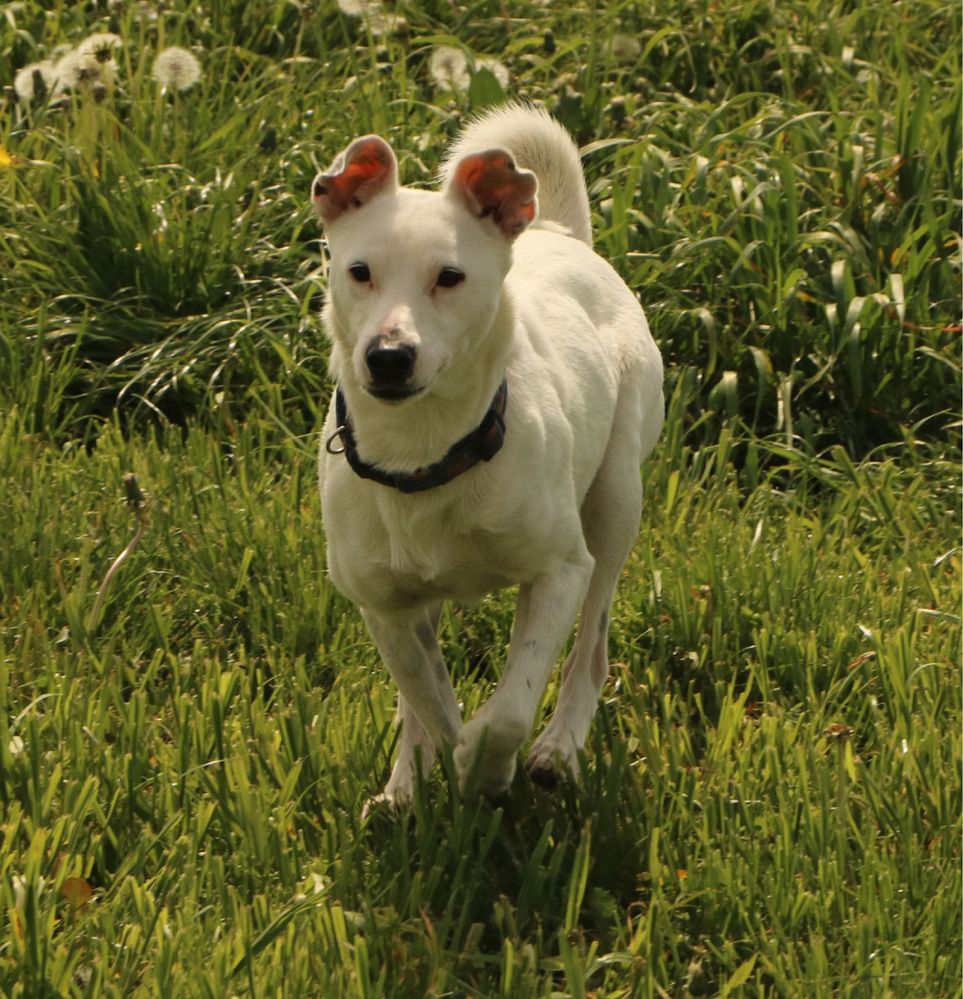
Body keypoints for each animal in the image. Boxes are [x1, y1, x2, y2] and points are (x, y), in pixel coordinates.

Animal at [314, 101, 664, 808]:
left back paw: (558, 749)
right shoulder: (384, 607)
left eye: (450, 277)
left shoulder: (561, 571)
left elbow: (507, 709)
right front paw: (440, 767)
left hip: (616, 499)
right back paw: (404, 785)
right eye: (359, 271)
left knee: (591, 649)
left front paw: (489, 764)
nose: (388, 356)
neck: (425, 453)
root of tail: (558, 232)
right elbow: (430, 702)